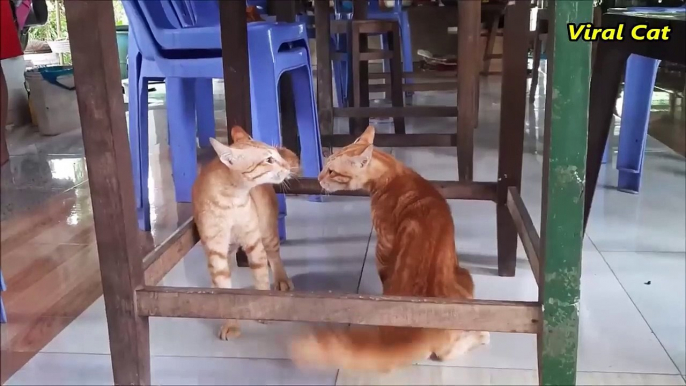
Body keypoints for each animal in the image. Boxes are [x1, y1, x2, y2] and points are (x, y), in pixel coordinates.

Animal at [194, 126, 300, 338]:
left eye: (277, 155)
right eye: (269, 160)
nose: (285, 165)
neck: (232, 199)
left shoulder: (254, 241)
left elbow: (261, 279)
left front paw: (264, 310)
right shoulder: (215, 248)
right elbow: (224, 286)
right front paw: (231, 323)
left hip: (267, 231)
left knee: (274, 255)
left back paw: (282, 279)